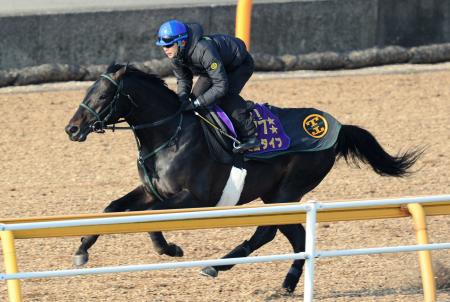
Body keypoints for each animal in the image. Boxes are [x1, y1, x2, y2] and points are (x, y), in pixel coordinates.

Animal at [65, 63, 420, 292]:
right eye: (88, 91)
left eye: (102, 96)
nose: (72, 128)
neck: (169, 133)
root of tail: (337, 126)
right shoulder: (153, 190)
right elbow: (112, 209)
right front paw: (82, 250)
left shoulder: (193, 197)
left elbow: (150, 220)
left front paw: (170, 249)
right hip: (276, 194)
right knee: (295, 235)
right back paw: (287, 284)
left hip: (287, 191)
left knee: (268, 231)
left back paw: (216, 266)